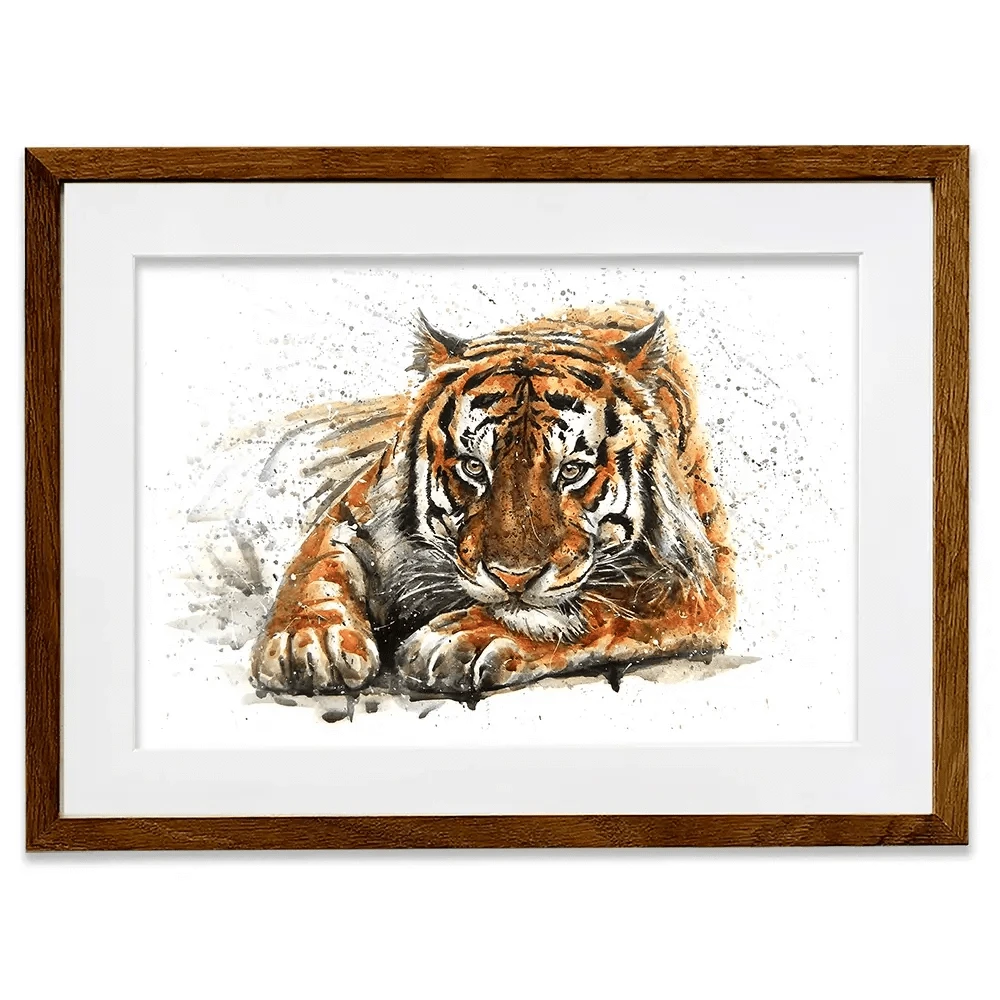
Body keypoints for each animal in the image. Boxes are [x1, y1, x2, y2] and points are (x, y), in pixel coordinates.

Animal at [250, 300, 736, 699]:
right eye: (473, 468)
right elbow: (316, 568)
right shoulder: (355, 511)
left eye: (572, 471)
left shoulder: (697, 579)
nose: (513, 578)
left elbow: (602, 605)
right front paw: (309, 641)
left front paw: (464, 638)